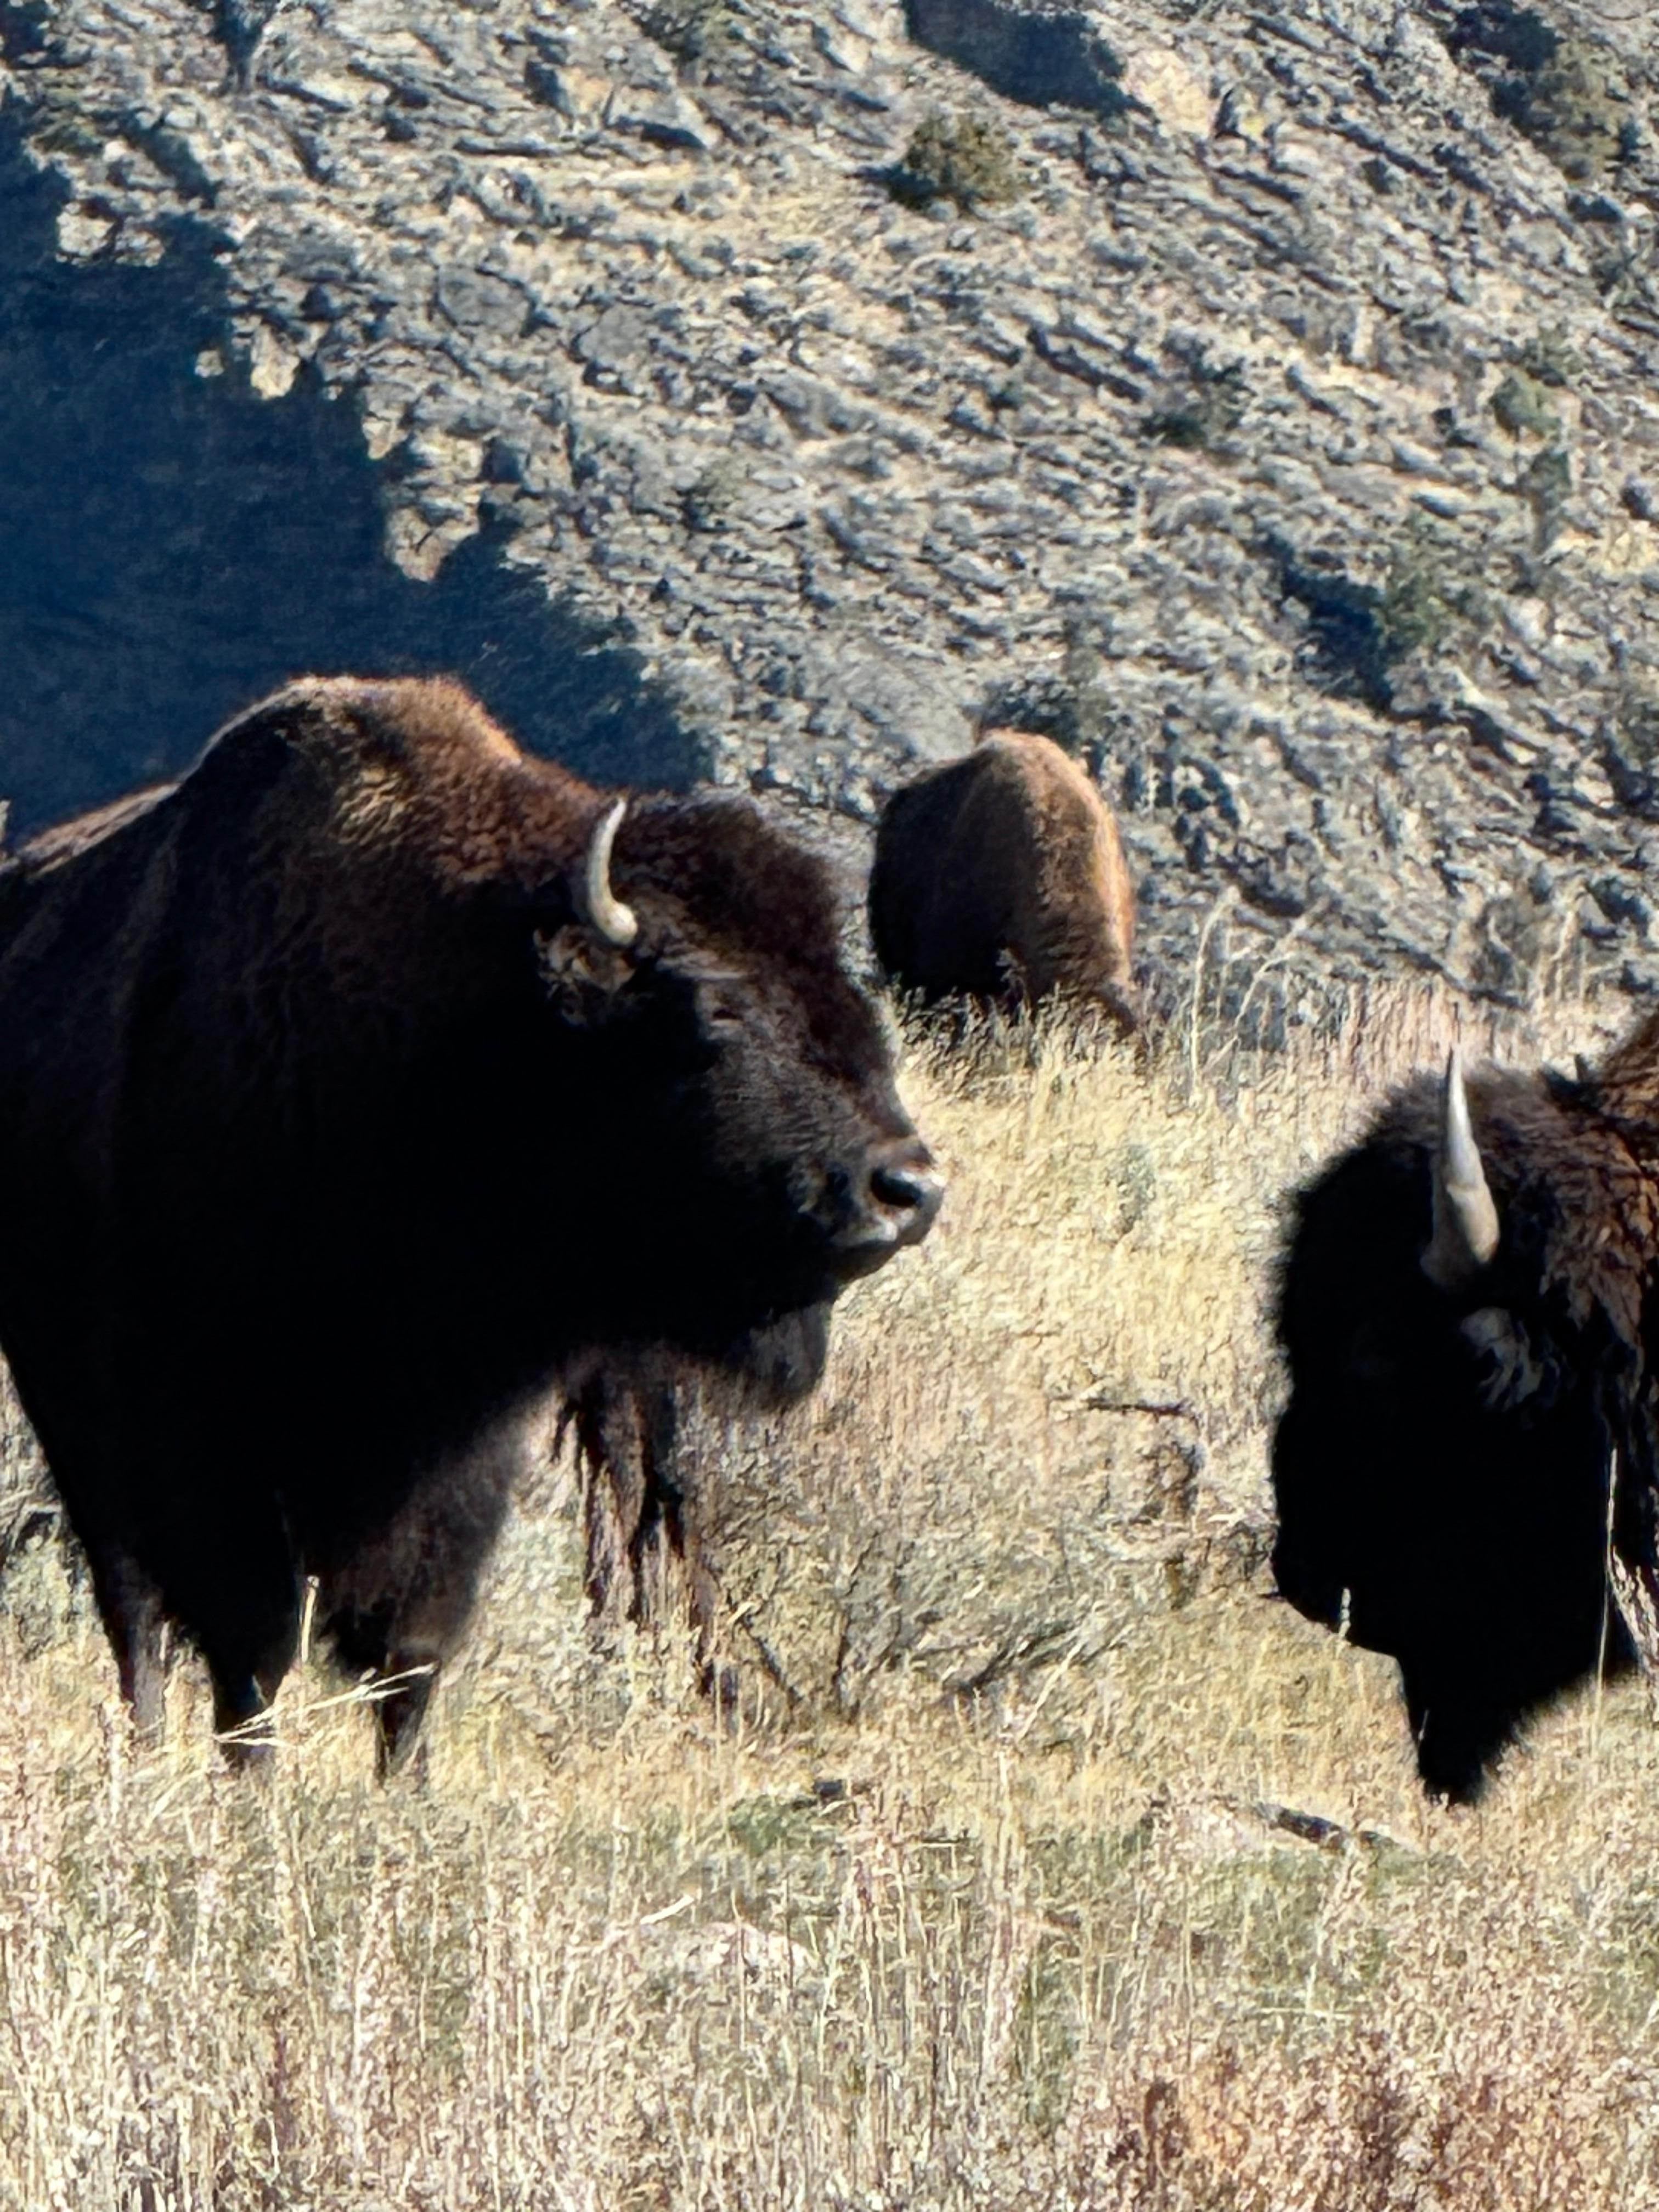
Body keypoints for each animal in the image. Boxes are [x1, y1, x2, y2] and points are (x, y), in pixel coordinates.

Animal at [0, 676, 941, 1766]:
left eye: (839, 985)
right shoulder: (199, 1425)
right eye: (711, 1012)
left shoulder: (462, 1444)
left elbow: (412, 1648)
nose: (905, 1188)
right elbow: (253, 1645)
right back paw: (148, 1747)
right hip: (71, 1402)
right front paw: (254, 1785)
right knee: (131, 1606)